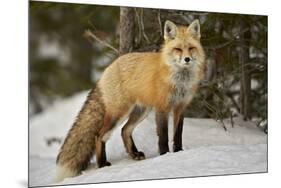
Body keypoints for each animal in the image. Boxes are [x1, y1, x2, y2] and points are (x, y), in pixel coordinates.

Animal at [54, 19, 205, 182]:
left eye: (191, 48)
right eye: (177, 49)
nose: (187, 59)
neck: (180, 81)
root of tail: (108, 68)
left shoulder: (180, 107)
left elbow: (178, 134)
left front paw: (178, 152)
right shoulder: (162, 108)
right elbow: (163, 136)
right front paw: (165, 155)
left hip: (141, 111)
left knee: (124, 130)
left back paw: (134, 154)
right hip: (119, 113)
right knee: (99, 135)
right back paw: (102, 164)